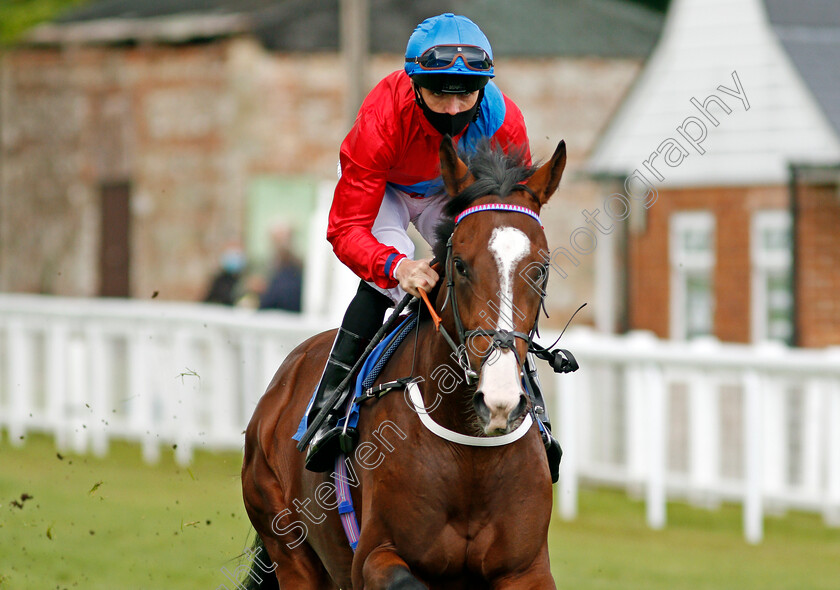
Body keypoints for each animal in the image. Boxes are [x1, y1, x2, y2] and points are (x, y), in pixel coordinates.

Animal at [244, 136, 572, 588]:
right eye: (460, 265)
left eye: (539, 270)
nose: (499, 400)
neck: (471, 455)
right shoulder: (374, 556)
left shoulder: (526, 569)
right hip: (288, 544)